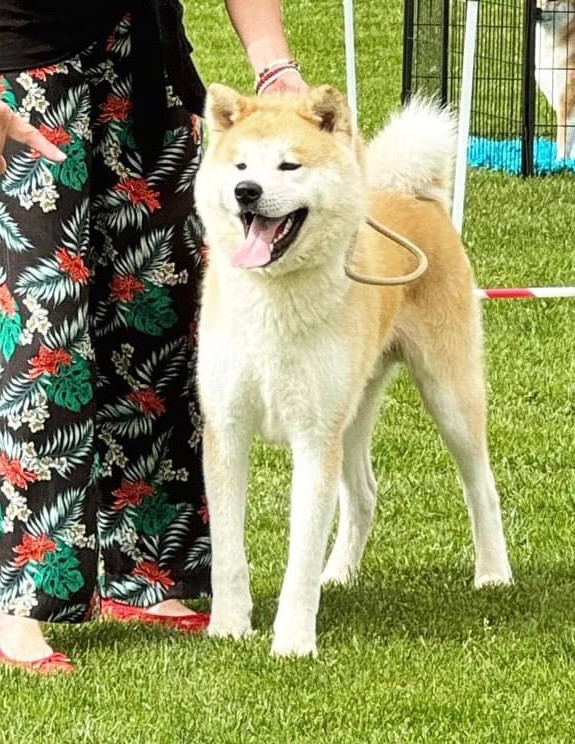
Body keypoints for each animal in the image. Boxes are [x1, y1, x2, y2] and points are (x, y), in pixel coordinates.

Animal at [194, 83, 512, 656]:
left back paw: (493, 573)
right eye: (241, 165)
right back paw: (339, 574)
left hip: (448, 395)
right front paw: (229, 627)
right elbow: (228, 550)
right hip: (351, 414)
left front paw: (293, 644)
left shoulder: (314, 437)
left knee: (481, 487)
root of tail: (413, 196)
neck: (273, 299)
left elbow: (299, 556)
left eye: (289, 165)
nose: (247, 192)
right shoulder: (227, 428)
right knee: (364, 495)